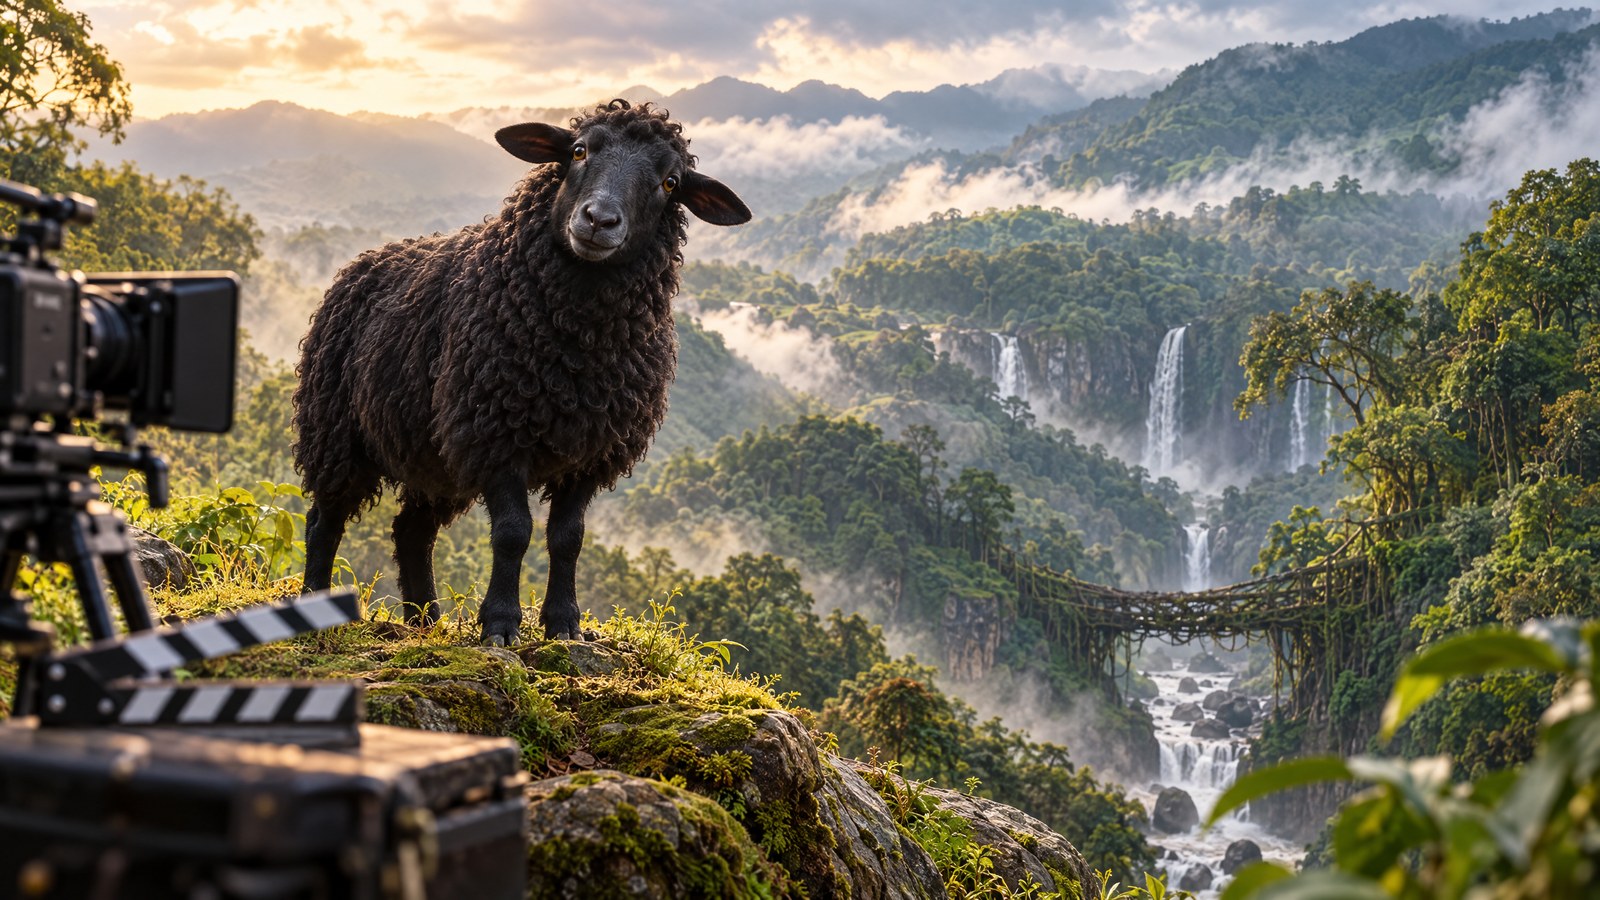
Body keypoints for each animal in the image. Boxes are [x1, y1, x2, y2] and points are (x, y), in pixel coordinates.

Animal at [292, 100, 750, 644]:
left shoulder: (589, 452)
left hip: (435, 457)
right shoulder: (495, 435)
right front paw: (501, 624)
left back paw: (426, 620)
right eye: (579, 151)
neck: (576, 353)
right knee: (325, 519)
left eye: (671, 182)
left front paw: (564, 624)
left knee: (411, 532)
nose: (599, 220)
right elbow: (513, 533)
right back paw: (315, 606)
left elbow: (568, 537)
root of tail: (368, 258)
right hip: (336, 430)